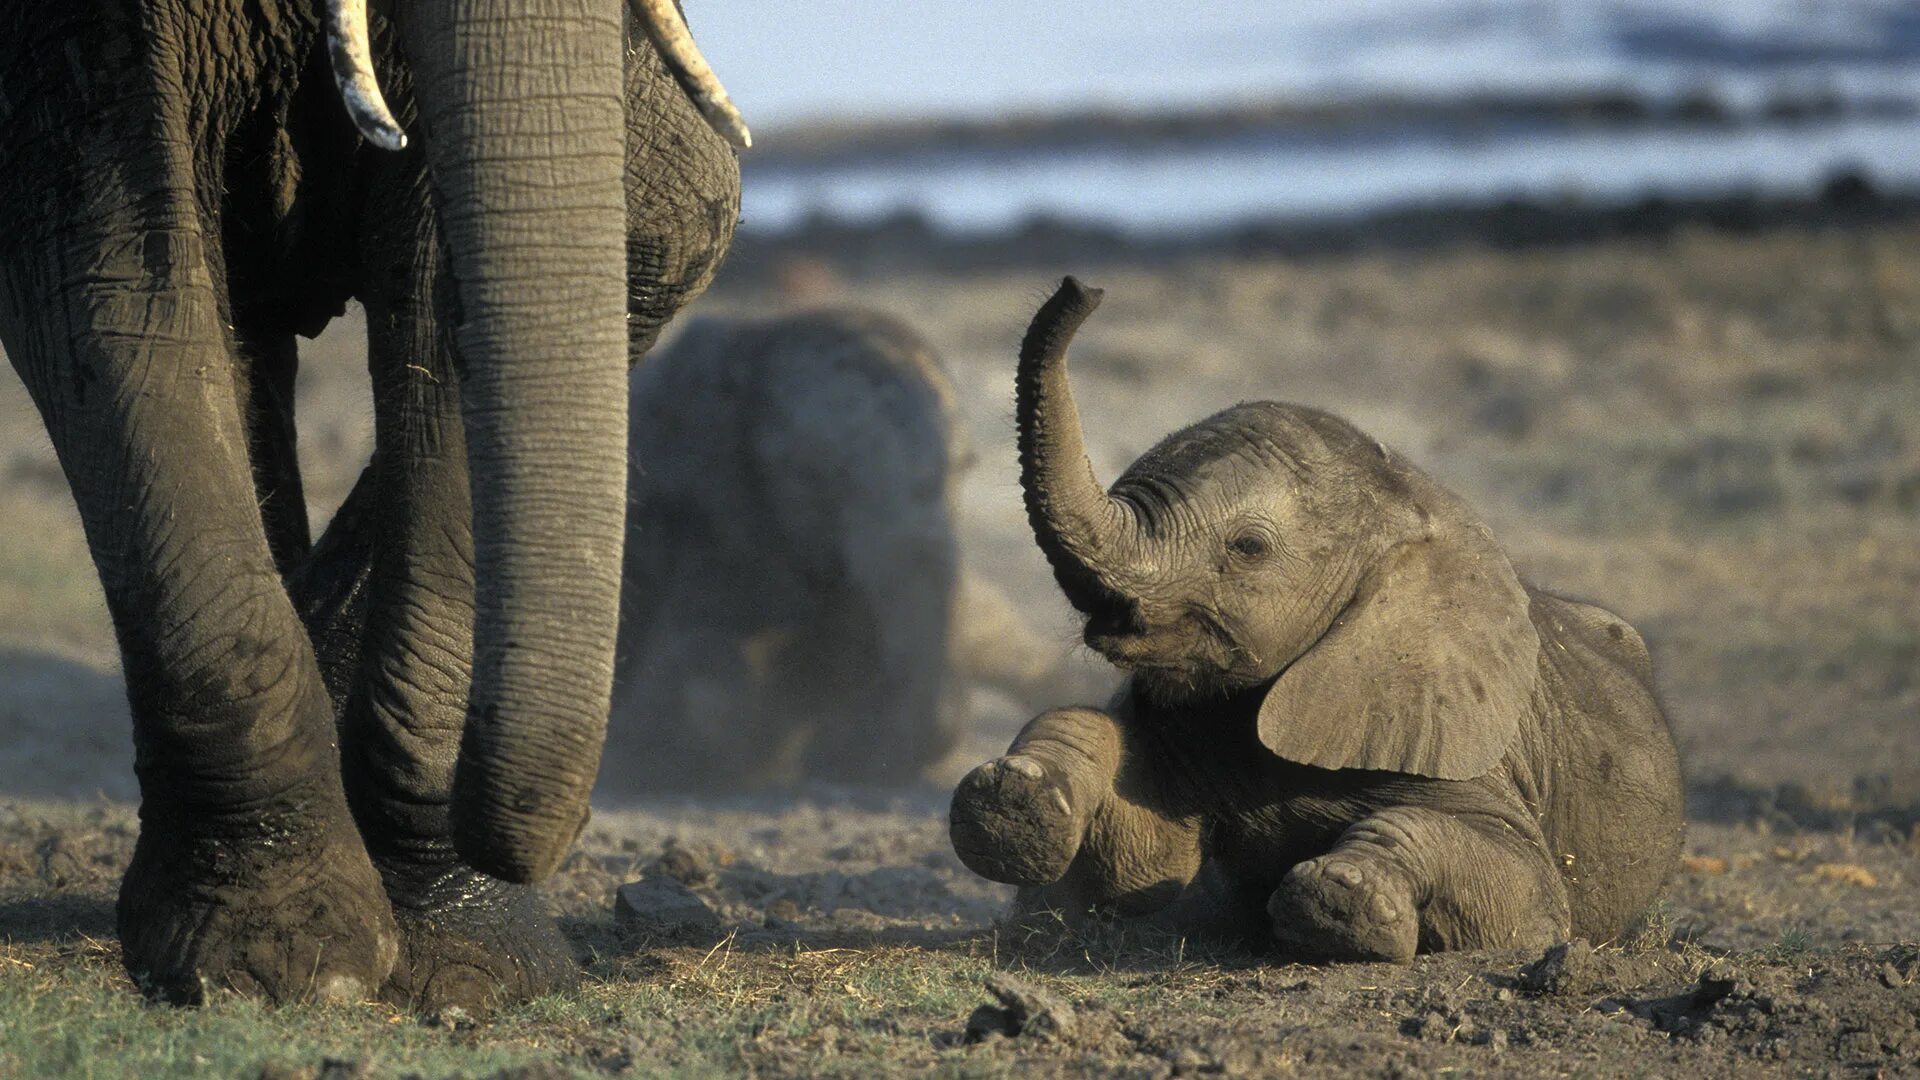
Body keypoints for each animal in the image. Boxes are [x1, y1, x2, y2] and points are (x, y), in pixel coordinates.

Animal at [956, 276, 1681, 957]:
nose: (1084, 289)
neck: (1407, 504)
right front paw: (1010, 802)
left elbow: (1520, 883)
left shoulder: (1446, 729)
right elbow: (1145, 855)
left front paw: (1338, 896)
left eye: (1248, 547)